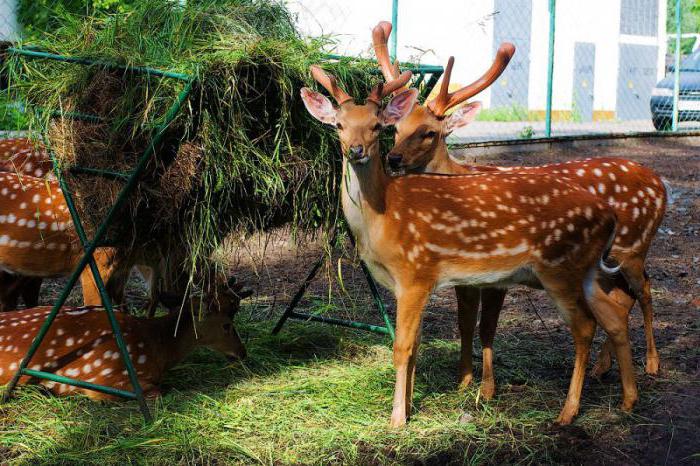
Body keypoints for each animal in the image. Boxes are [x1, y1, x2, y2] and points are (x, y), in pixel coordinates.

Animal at [300, 63, 640, 428]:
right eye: (339, 124)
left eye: (377, 126)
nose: (356, 150)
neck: (383, 216)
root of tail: (610, 215)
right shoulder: (408, 284)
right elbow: (417, 344)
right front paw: (410, 406)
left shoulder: (416, 272)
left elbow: (402, 347)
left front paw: (397, 419)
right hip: (586, 270)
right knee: (614, 315)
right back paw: (628, 400)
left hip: (560, 267)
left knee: (585, 326)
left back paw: (567, 412)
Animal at [372, 20, 668, 396]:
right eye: (396, 127)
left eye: (429, 132)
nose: (393, 158)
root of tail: (660, 184)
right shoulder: (462, 275)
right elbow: (465, 322)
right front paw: (463, 380)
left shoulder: (496, 275)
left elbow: (487, 326)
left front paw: (487, 389)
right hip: (608, 259)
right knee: (621, 297)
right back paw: (603, 367)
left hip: (634, 247)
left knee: (643, 289)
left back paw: (653, 363)